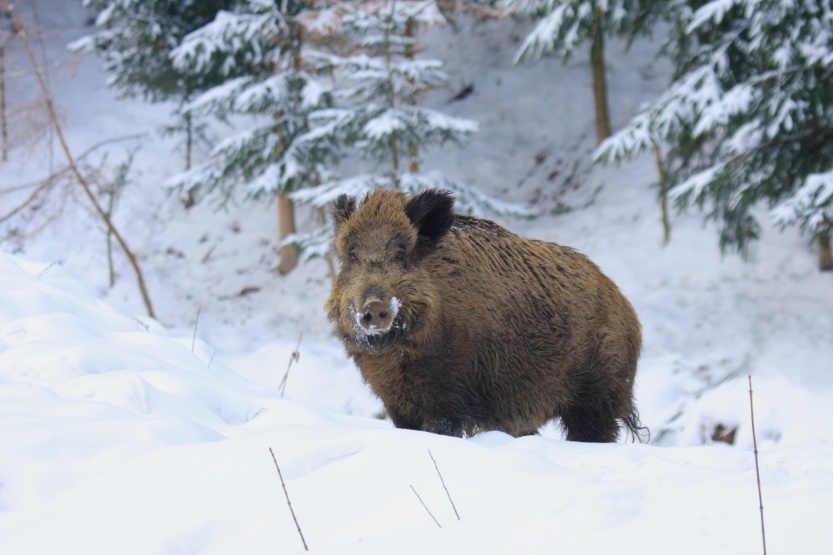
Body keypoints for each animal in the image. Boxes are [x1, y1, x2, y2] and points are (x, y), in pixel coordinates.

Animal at [326, 188, 645, 442]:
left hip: (600, 394)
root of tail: (625, 306)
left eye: (401, 253)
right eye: (352, 255)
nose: (374, 308)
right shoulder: (396, 402)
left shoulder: (449, 396)